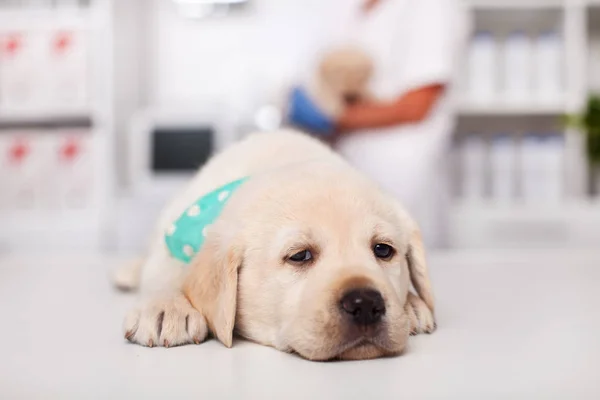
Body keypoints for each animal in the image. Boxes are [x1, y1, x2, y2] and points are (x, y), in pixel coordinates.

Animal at [116, 130, 436, 360]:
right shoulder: (172, 241)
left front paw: (412, 304)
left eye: (383, 250)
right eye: (300, 255)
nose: (366, 304)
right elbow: (165, 275)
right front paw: (165, 308)